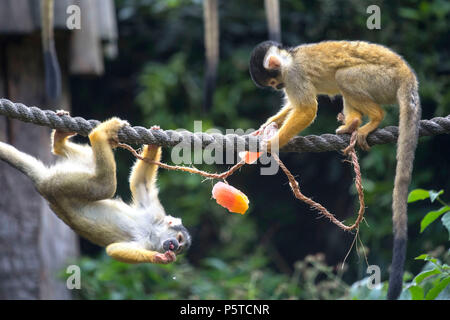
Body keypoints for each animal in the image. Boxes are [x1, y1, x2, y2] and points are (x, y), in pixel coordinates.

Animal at [0, 116, 191, 264]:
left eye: (180, 250)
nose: (174, 247)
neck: (153, 231)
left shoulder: (149, 243)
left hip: (61, 180)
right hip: (62, 183)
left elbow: (114, 249)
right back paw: (100, 133)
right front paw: (153, 146)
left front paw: (162, 258)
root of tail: (42, 183)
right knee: (106, 187)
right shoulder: (155, 213)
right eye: (179, 240)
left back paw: (59, 143)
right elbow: (140, 181)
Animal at [250, 40, 422, 300]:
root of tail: (406, 73)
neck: (289, 59)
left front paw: (272, 144)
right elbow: (294, 106)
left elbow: (307, 109)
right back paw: (352, 123)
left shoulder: (293, 75)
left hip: (383, 80)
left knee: (345, 76)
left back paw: (373, 118)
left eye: (273, 82)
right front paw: (269, 124)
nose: (277, 86)